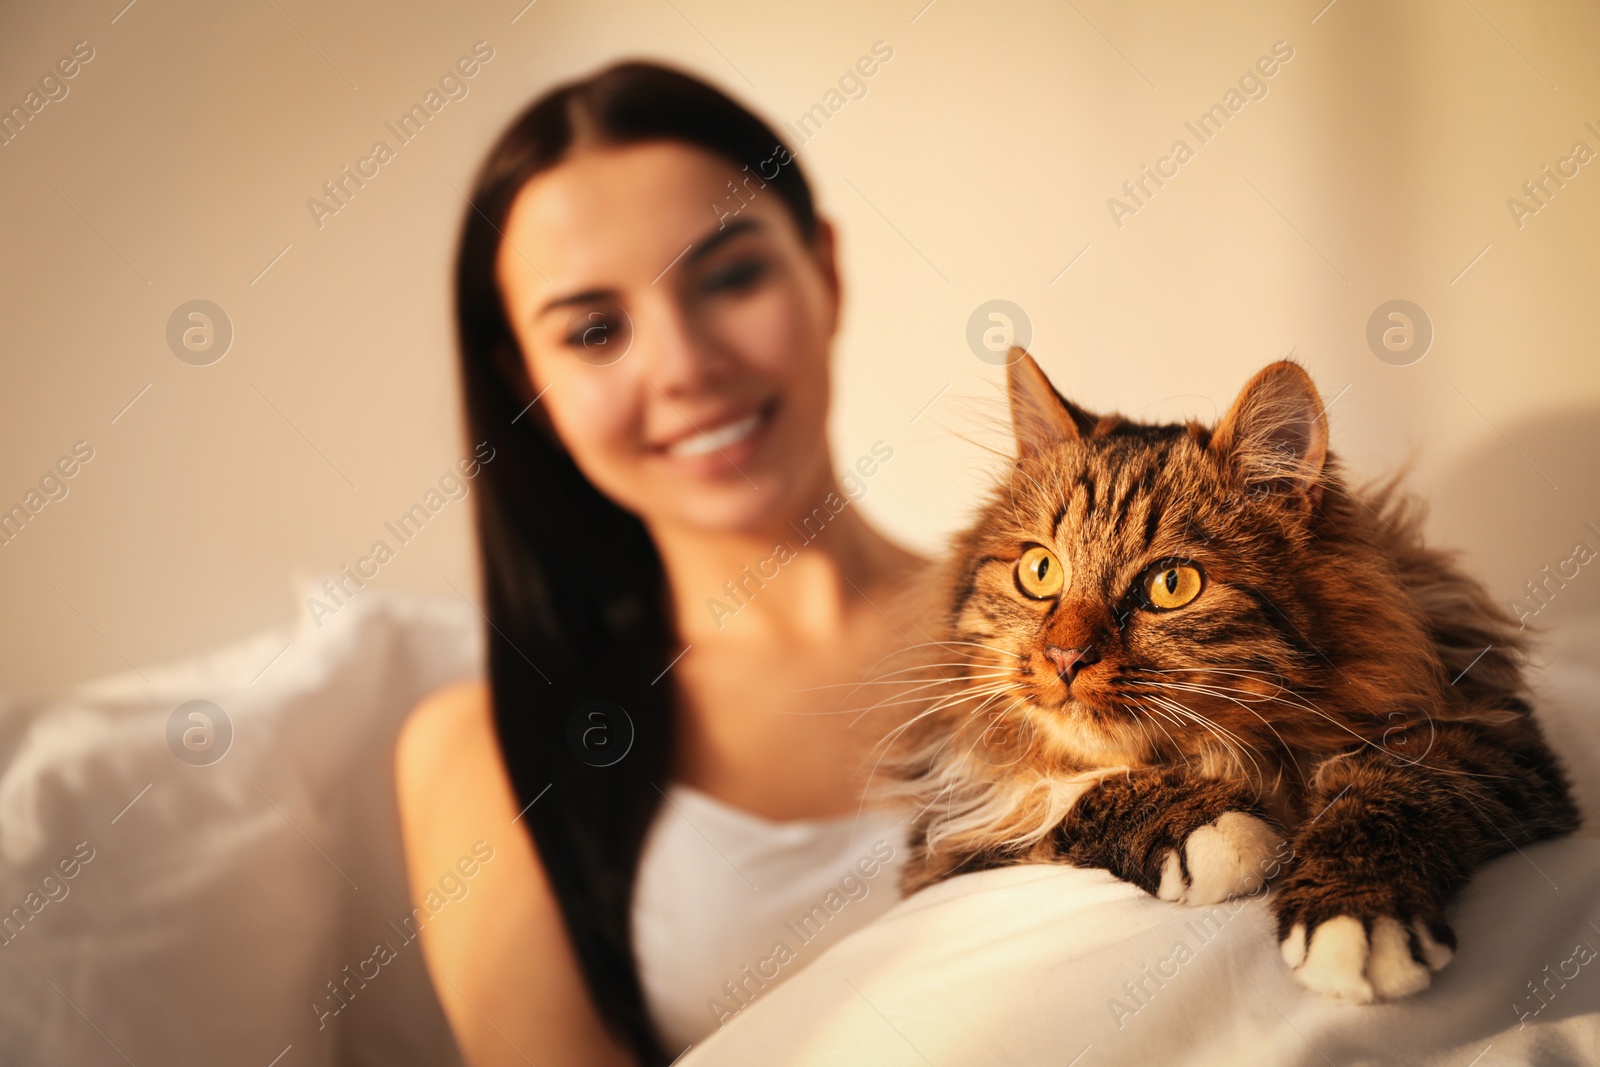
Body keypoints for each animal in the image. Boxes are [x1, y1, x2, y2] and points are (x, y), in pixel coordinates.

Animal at [896, 348, 1580, 1004]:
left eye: (1171, 584)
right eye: (1039, 571)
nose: (1065, 658)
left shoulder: (1485, 731)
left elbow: (1391, 793)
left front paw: (1356, 918)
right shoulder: (944, 835)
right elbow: (1064, 793)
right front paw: (1221, 831)